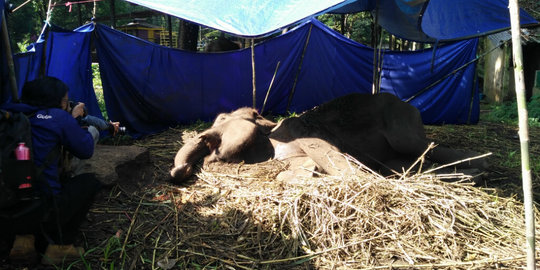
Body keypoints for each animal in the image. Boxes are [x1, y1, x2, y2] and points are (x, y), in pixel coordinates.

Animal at [171, 93, 488, 184]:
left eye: (222, 120)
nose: (177, 172)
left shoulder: (305, 133)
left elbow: (347, 170)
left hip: (401, 123)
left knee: (422, 147)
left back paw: (479, 169)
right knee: (404, 163)